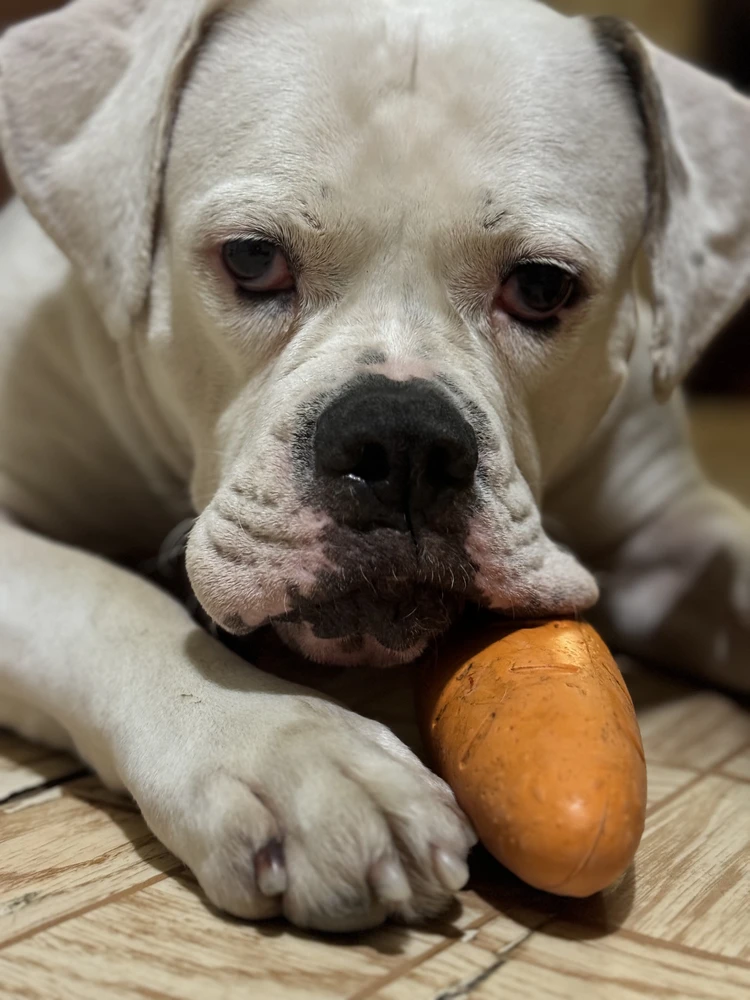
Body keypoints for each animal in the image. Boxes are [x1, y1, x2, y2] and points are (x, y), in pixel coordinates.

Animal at [1, 0, 750, 932]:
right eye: (251, 258)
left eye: (543, 287)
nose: (401, 444)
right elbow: (102, 596)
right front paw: (292, 750)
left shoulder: (670, 530)